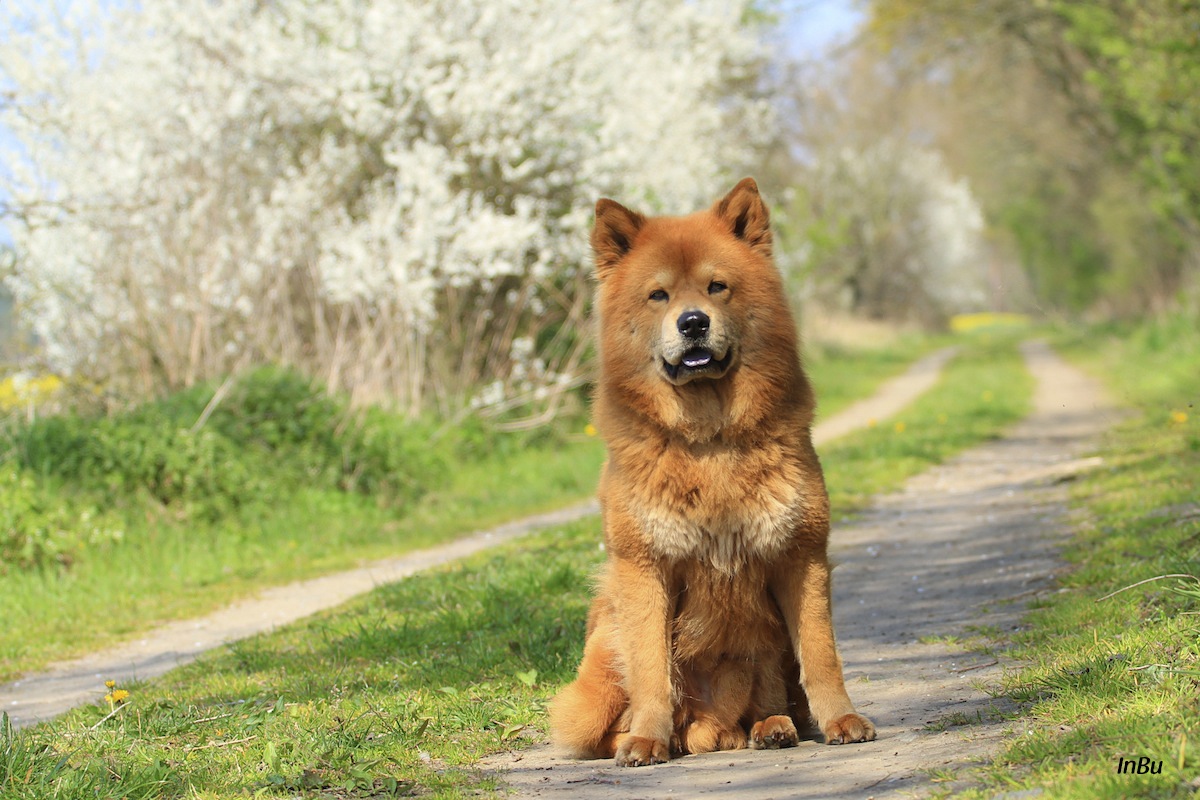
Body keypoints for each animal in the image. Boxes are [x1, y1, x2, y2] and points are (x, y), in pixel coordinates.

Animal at [549, 178, 878, 767]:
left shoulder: (801, 556)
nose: (693, 322)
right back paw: (653, 738)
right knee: (610, 721)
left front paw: (842, 719)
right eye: (659, 295)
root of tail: (705, 726)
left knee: (768, 698)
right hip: (606, 649)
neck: (710, 439)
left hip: (759, 654)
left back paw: (768, 728)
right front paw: (646, 740)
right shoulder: (644, 567)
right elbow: (652, 667)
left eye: (716, 287)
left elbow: (821, 655)